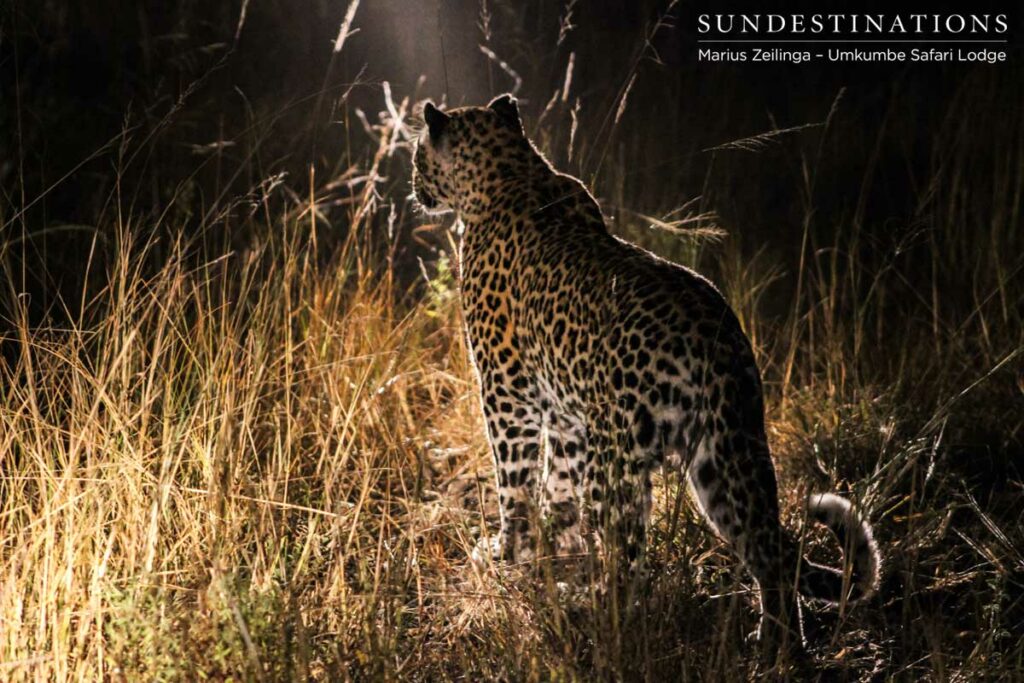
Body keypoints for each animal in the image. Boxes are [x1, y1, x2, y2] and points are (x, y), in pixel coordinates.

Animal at [411, 93, 881, 645]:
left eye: (418, 155)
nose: (414, 188)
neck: (511, 170)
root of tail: (716, 342)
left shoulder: (507, 393)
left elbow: (516, 481)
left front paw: (509, 552)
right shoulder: (569, 416)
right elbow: (559, 488)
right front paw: (556, 548)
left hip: (620, 458)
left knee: (629, 558)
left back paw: (590, 615)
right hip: (726, 450)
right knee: (770, 550)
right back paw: (777, 647)